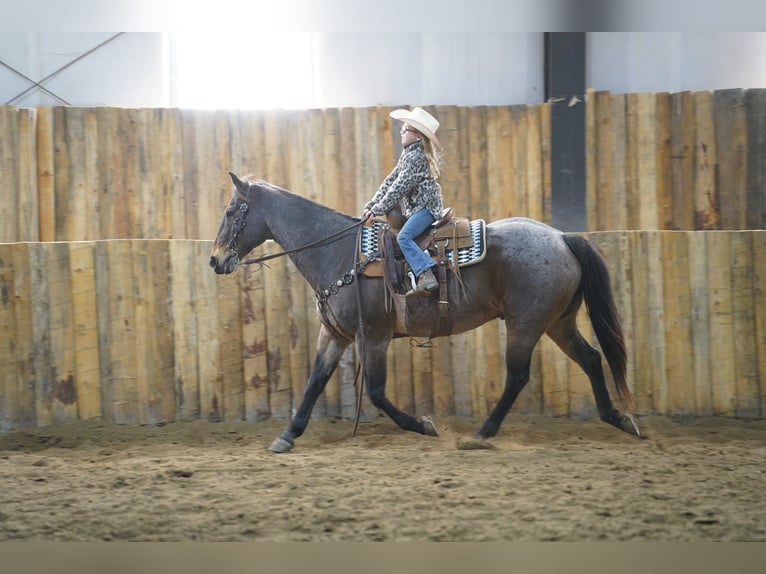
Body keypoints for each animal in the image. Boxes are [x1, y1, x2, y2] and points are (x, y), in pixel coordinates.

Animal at [209, 173, 641, 452]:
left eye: (231, 212)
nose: (215, 260)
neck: (338, 252)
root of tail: (562, 237)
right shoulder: (334, 334)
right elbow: (315, 382)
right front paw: (288, 434)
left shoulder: (373, 337)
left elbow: (377, 393)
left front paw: (424, 425)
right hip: (557, 323)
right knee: (591, 358)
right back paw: (616, 418)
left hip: (526, 325)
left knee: (518, 376)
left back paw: (481, 434)